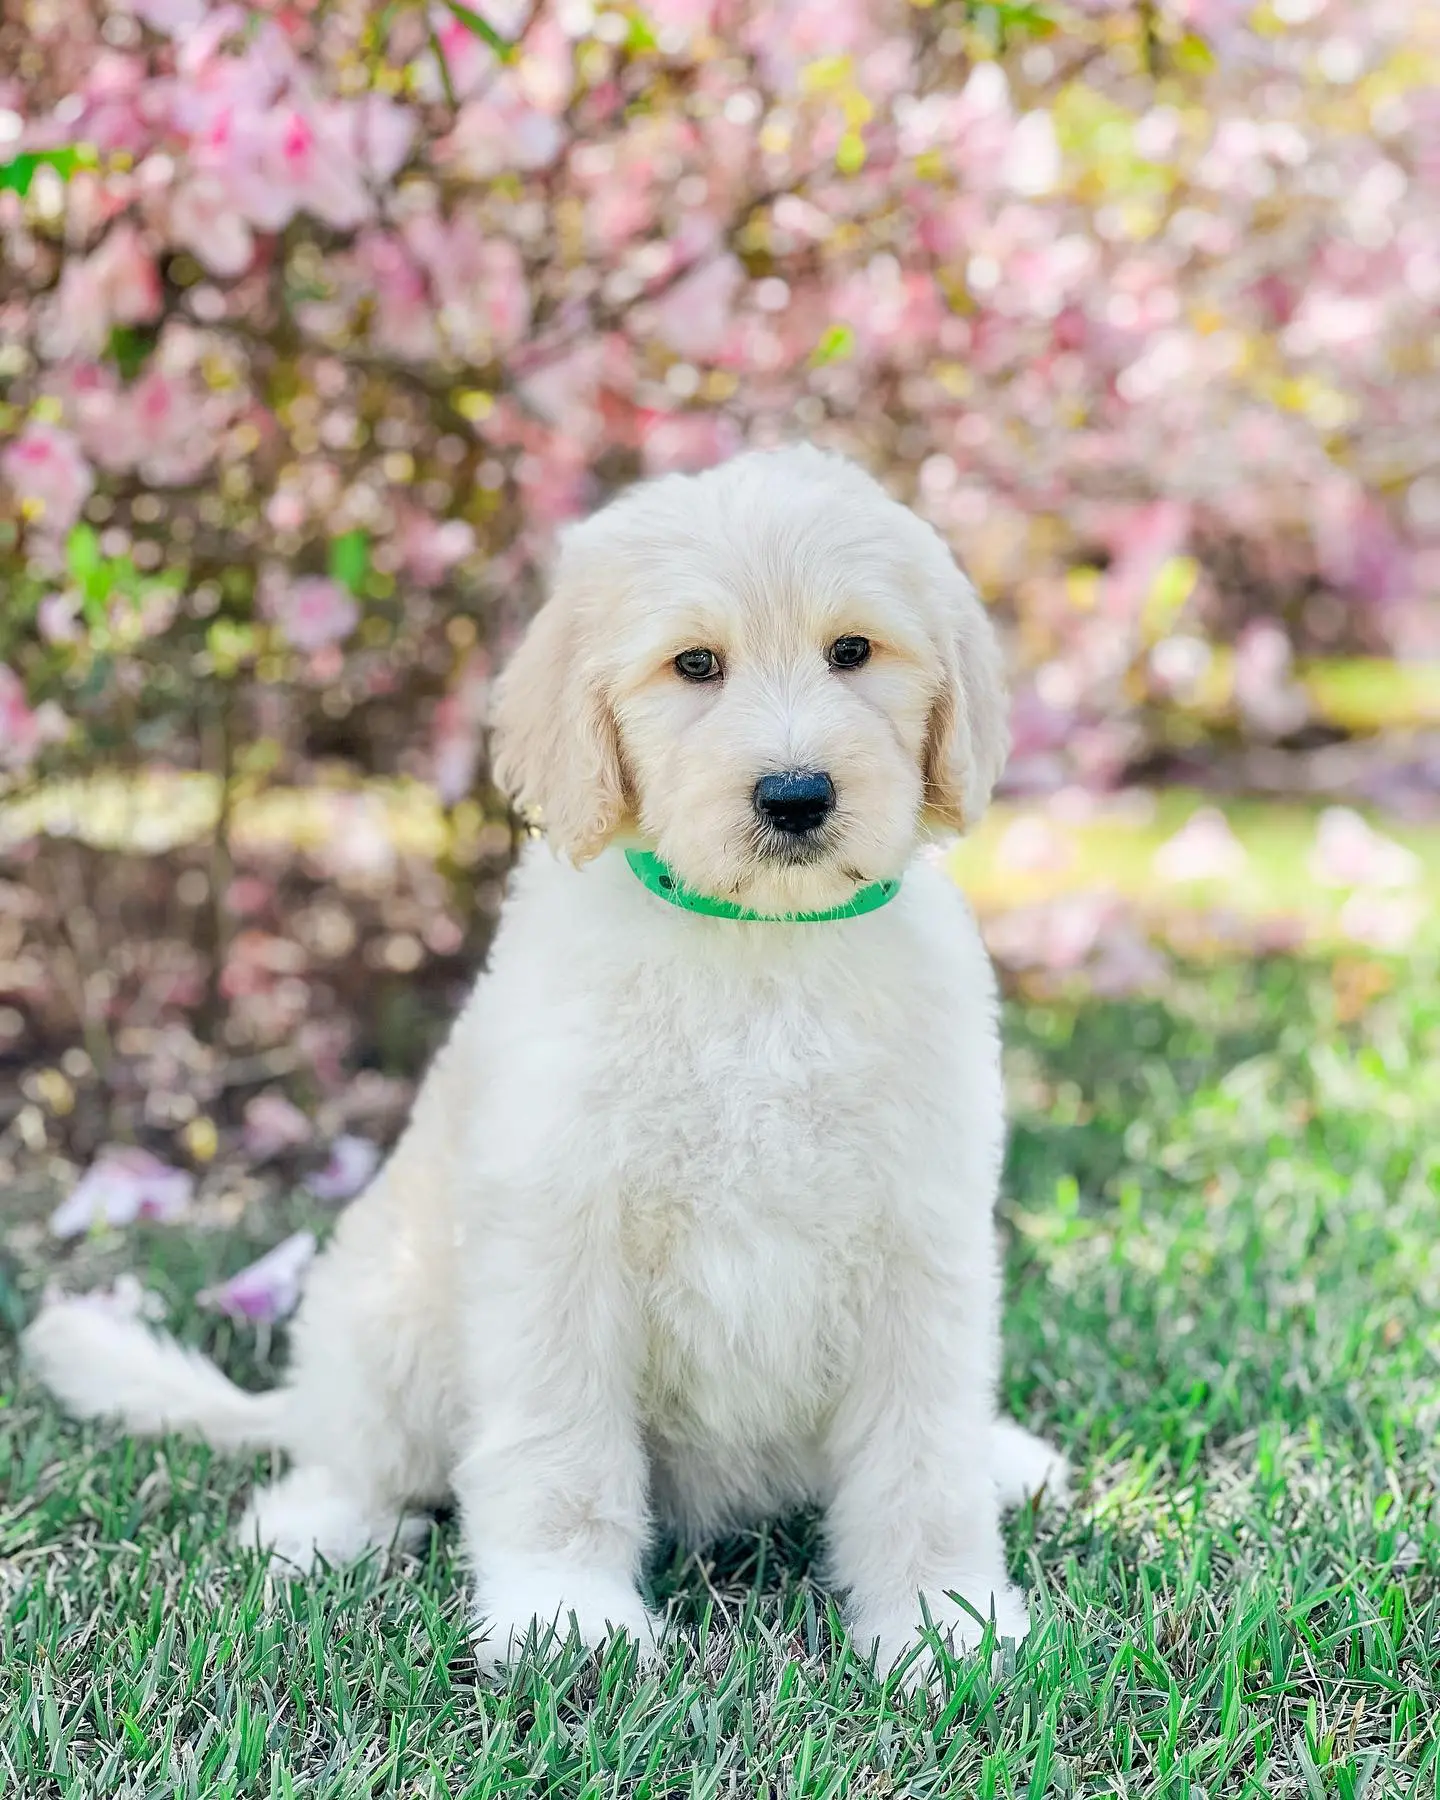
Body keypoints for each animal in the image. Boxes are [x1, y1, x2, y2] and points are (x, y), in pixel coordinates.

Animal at [19, 442, 1065, 1677]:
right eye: (695, 665)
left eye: (854, 652)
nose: (797, 796)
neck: (759, 948)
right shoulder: (562, 1235)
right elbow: (560, 1450)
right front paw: (568, 1620)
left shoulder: (919, 1241)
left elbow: (922, 1458)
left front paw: (945, 1621)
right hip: (389, 1314)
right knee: (355, 1456)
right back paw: (324, 1526)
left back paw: (1009, 1462)